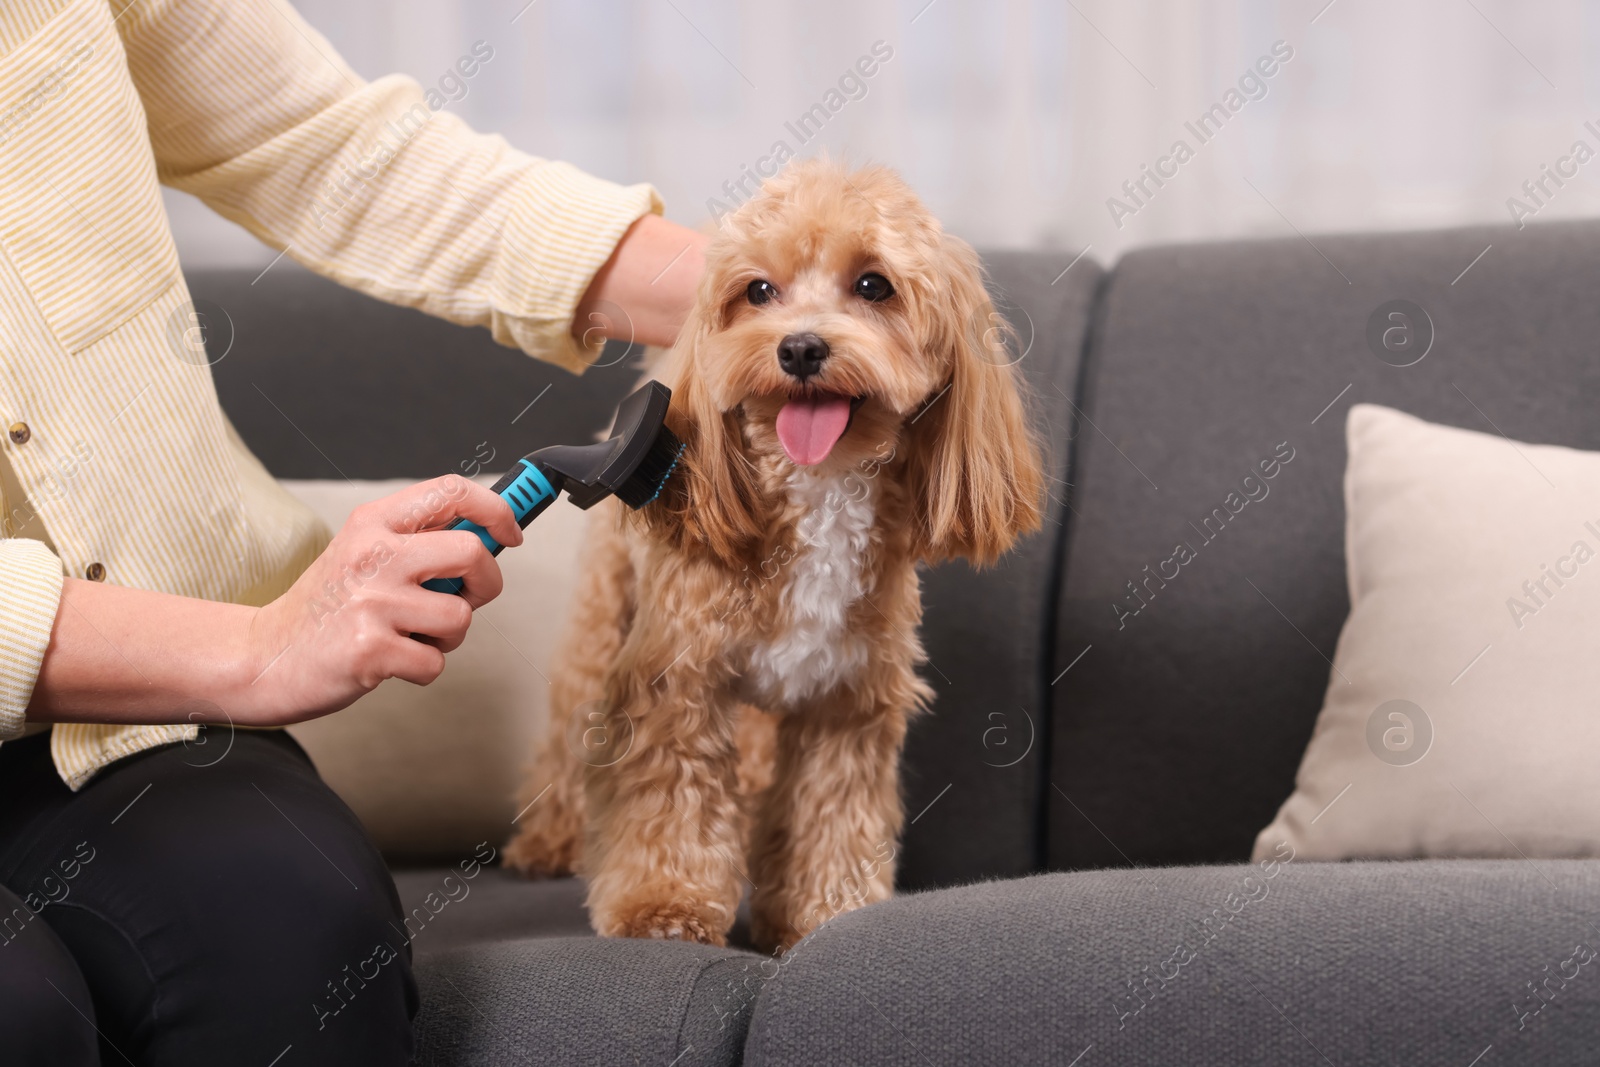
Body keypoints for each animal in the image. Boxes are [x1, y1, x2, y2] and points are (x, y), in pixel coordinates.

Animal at [505, 156, 1043, 953]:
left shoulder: (846, 701)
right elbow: (669, 795)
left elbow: (831, 814)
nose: (799, 348)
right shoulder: (678, 677)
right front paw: (663, 904)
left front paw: (824, 911)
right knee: (571, 726)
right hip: (603, 619)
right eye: (759, 291)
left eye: (874, 285)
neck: (816, 490)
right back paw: (549, 841)